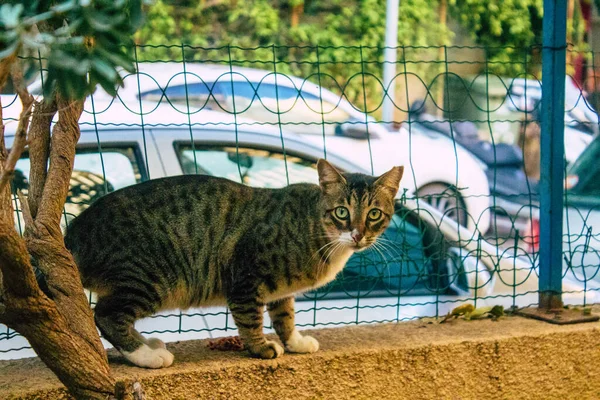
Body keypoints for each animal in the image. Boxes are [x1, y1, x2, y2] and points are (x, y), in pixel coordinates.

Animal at [64, 159, 404, 368]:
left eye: (374, 214)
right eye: (342, 212)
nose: (358, 234)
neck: (316, 229)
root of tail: (73, 231)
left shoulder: (280, 290)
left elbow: (284, 316)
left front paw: (294, 341)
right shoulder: (245, 274)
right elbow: (251, 318)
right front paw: (262, 347)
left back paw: (147, 343)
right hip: (150, 277)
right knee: (105, 314)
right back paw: (146, 356)